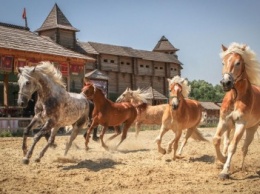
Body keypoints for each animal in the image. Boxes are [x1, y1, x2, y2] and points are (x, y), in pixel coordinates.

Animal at [212, 43, 260, 180]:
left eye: (238, 63)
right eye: (223, 62)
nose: (226, 83)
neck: (235, 96)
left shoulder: (241, 124)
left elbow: (233, 147)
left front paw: (225, 171)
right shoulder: (224, 121)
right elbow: (216, 140)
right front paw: (221, 160)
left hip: (252, 129)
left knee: (244, 148)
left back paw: (242, 168)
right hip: (233, 127)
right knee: (229, 143)